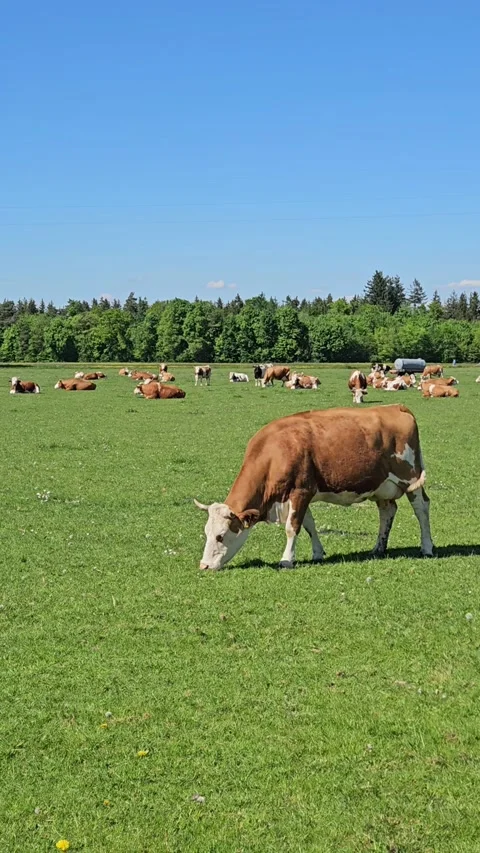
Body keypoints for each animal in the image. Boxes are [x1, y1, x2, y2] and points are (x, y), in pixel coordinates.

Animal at [194, 404, 433, 569]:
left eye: (221, 536)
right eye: (206, 533)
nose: (204, 566)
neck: (275, 451)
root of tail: (396, 407)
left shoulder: (301, 491)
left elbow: (292, 527)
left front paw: (287, 560)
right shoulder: (301, 494)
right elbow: (309, 524)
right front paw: (317, 552)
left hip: (410, 479)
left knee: (422, 508)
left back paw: (427, 547)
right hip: (381, 486)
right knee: (387, 511)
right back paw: (378, 548)